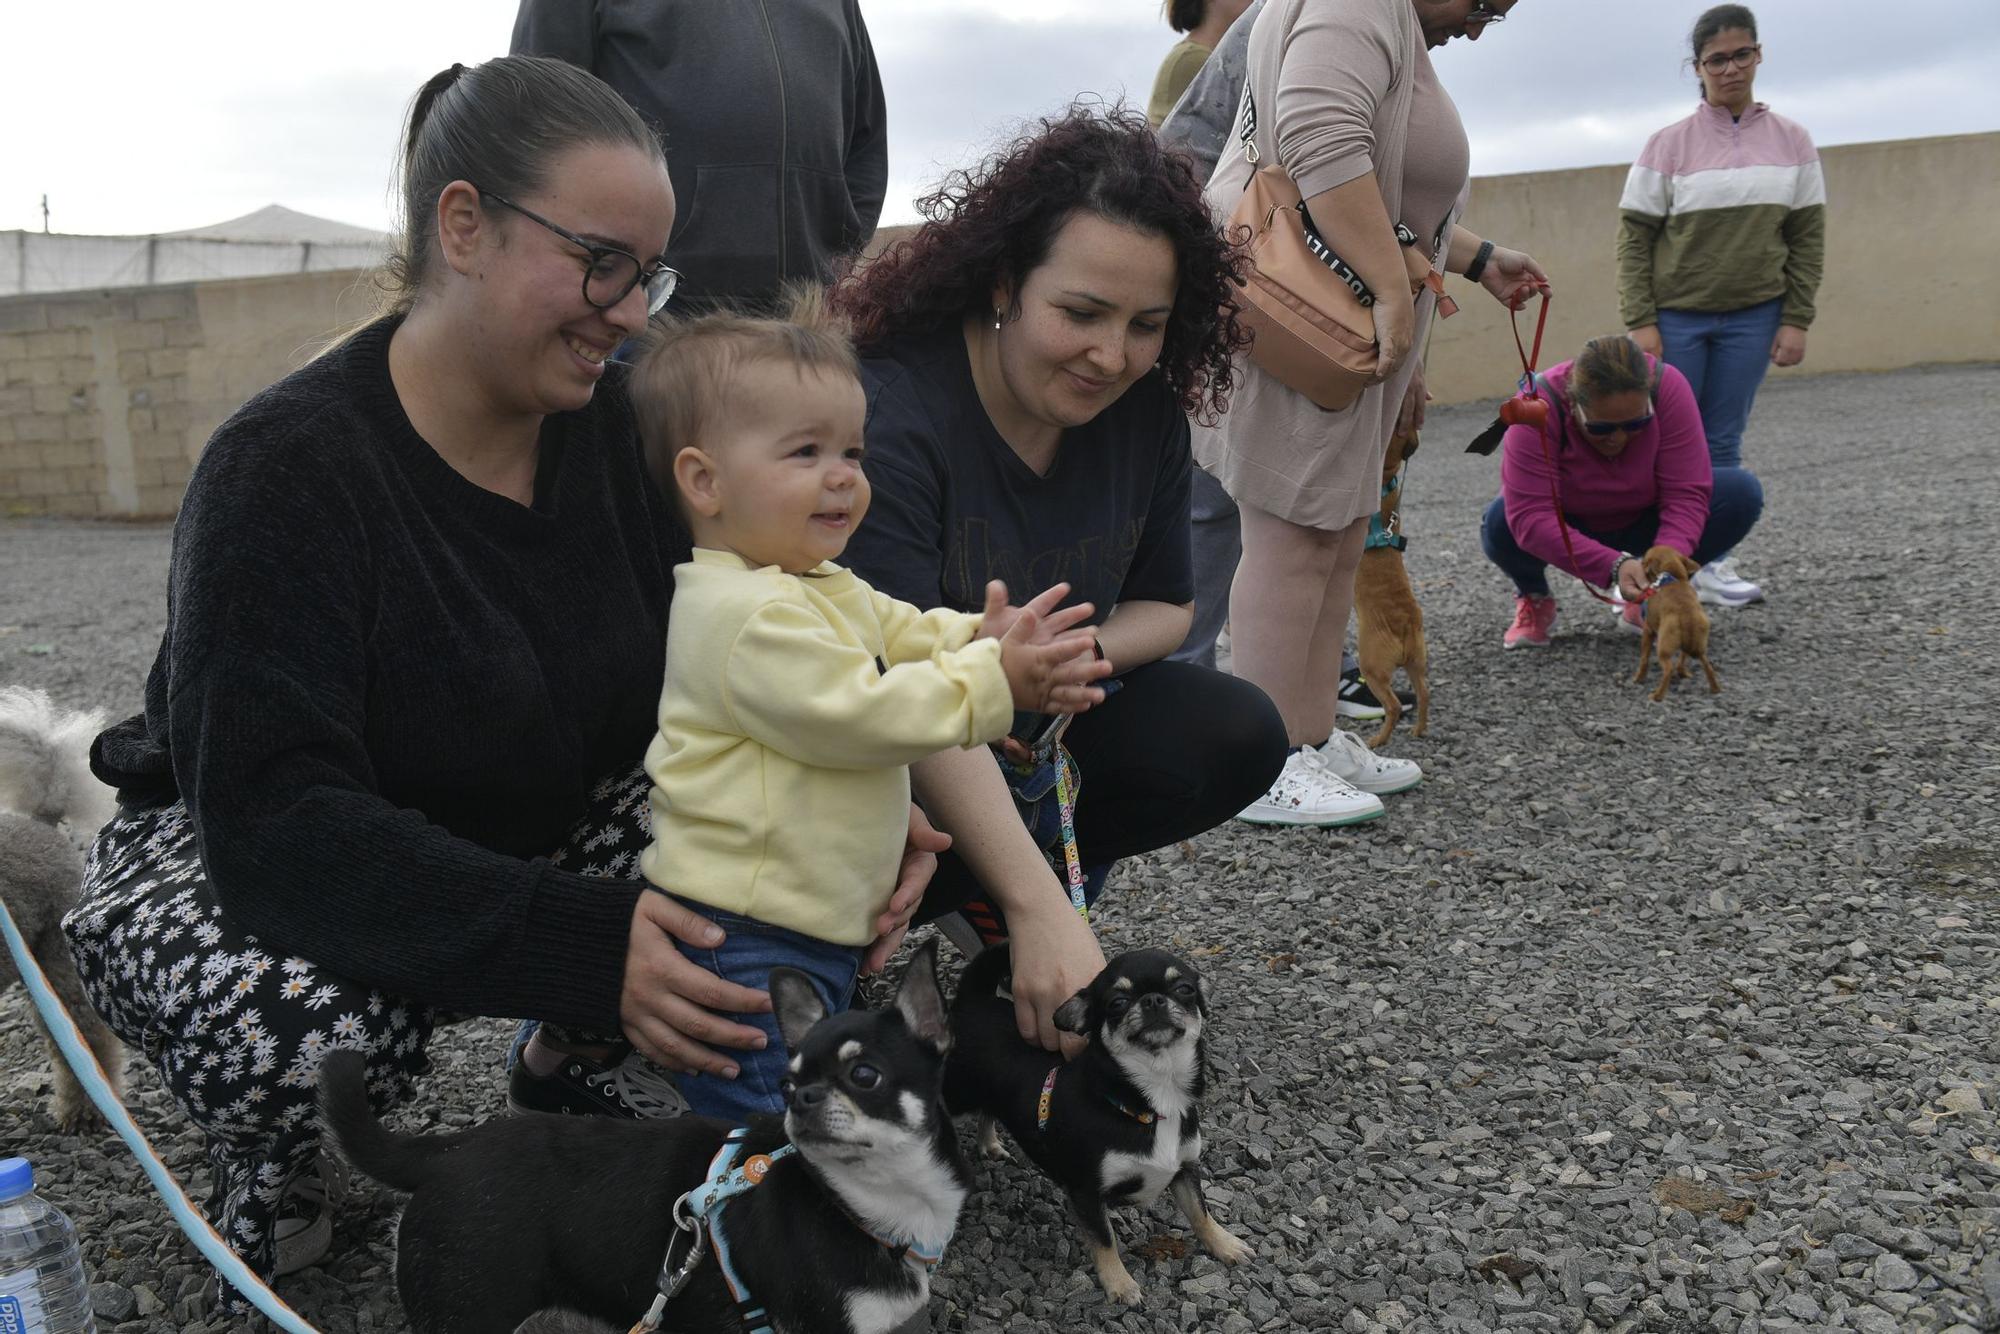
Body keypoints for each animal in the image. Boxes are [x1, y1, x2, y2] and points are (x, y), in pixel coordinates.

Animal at [1352, 436, 1432, 756]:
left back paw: (1378, 740)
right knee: (1424, 694)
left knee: (1394, 705)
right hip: (1416, 663)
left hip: (1372, 668)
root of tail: (1404, 625)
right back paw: (1418, 730)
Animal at [1624, 548, 1720, 704]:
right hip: (1699, 646)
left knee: (1668, 669)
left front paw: (1639, 678)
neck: (1672, 577)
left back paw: (1657, 696)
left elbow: (1644, 659)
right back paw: (1715, 688)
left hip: (1663, 648)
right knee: (1707, 665)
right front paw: (1682, 672)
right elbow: (1682, 658)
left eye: (1645, 559)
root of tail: (1687, 616)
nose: (1640, 562)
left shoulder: (1648, 630)